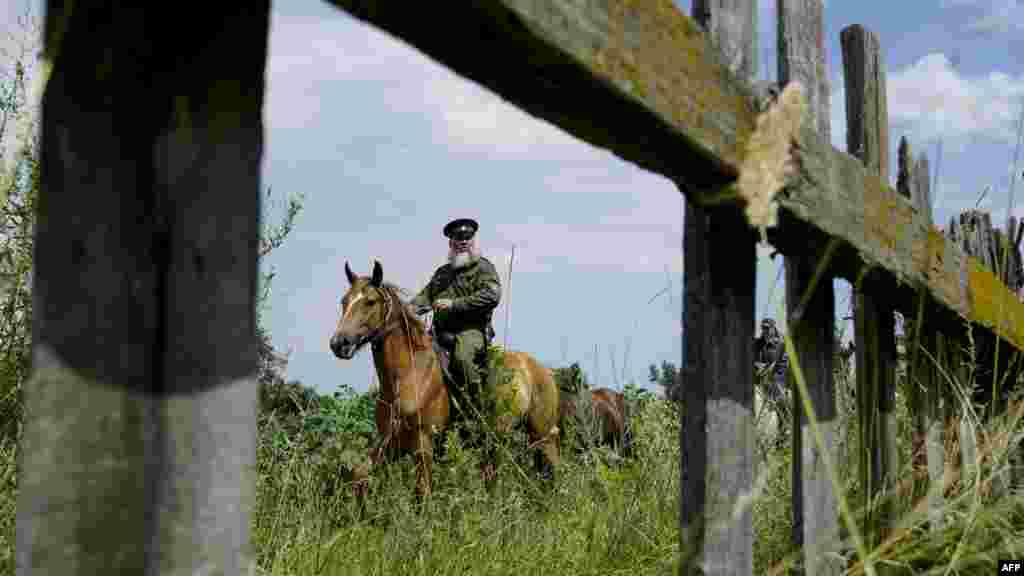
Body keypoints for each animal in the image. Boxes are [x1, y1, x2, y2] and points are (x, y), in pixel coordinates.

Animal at [331, 261, 561, 498]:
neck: (408, 376)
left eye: (370, 301)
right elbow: (359, 474)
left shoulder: (423, 444)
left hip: (543, 435)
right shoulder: (390, 441)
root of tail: (540, 369)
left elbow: (422, 492)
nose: (339, 343)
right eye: (344, 301)